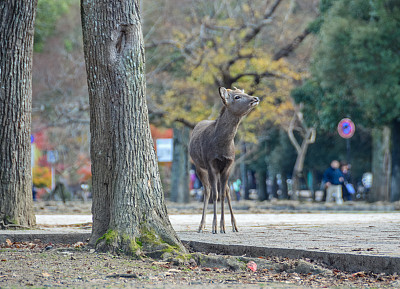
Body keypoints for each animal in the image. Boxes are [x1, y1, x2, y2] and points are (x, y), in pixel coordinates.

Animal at [190, 86, 260, 233]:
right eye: (237, 97)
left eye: (244, 93)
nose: (255, 98)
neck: (222, 146)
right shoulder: (211, 163)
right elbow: (215, 194)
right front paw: (215, 227)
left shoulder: (229, 164)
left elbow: (223, 193)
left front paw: (223, 226)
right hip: (199, 166)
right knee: (207, 190)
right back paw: (201, 226)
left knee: (226, 189)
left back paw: (234, 225)